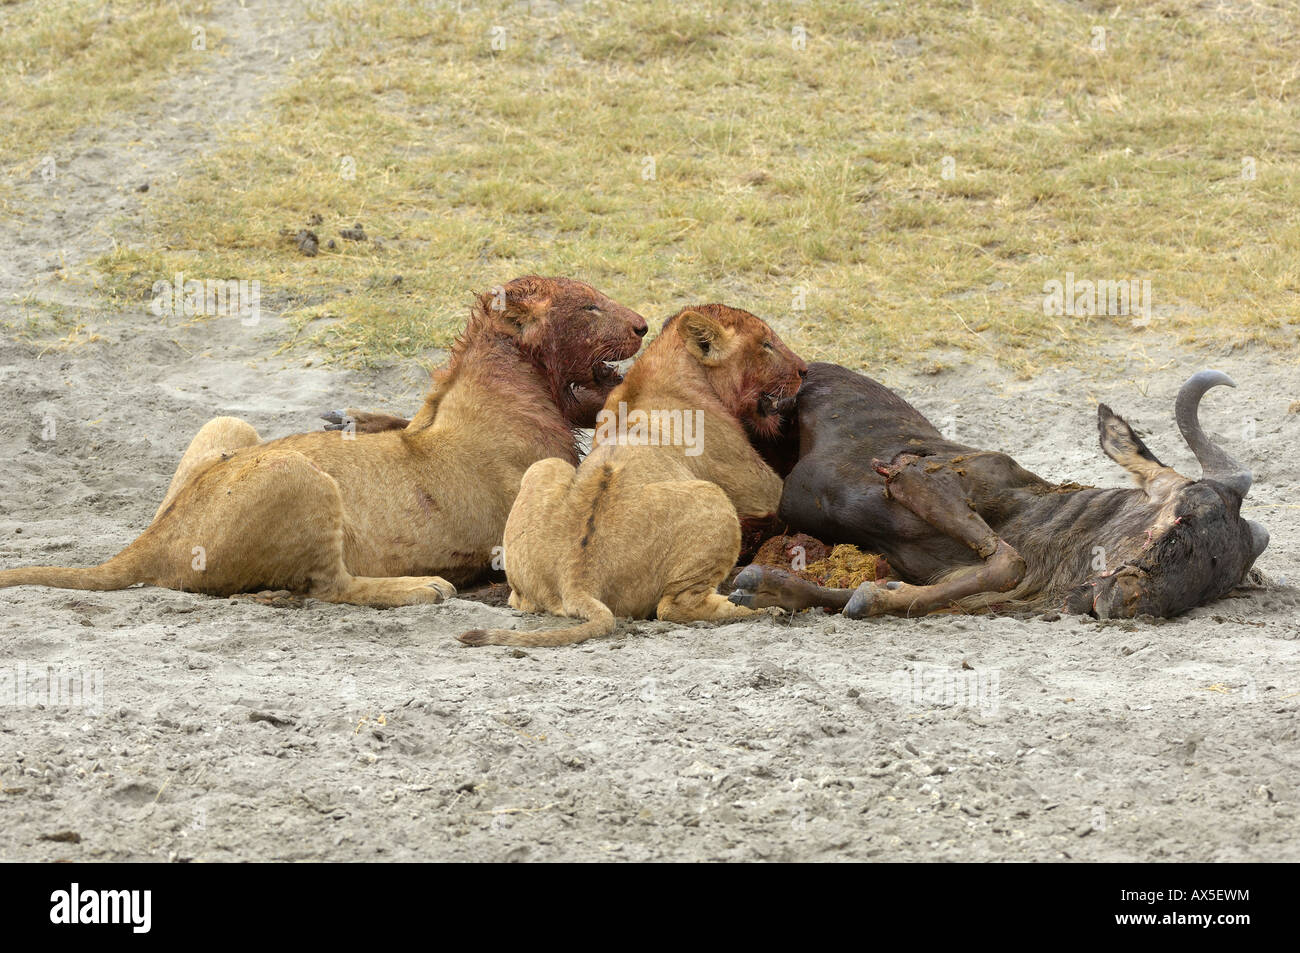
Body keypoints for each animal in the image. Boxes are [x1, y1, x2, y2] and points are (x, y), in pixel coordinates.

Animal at [0, 275, 650, 605]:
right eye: (589, 307)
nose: (644, 325)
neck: (525, 382)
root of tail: (150, 544)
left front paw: (352, 418)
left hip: (231, 427)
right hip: (296, 475)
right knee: (327, 586)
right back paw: (423, 586)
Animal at [457, 304, 800, 647]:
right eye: (767, 344)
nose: (804, 371)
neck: (666, 364)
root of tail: (577, 580)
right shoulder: (761, 489)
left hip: (544, 467)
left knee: (520, 598)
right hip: (713, 497)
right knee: (675, 606)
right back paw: (767, 606)